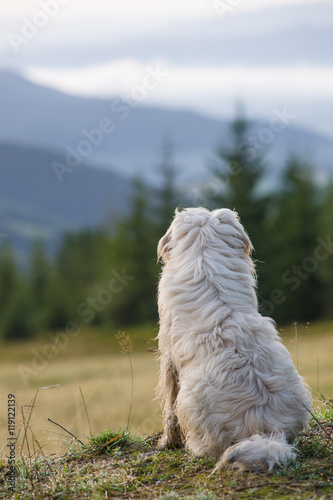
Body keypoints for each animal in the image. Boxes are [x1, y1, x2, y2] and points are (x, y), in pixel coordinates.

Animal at [156, 205, 312, 470]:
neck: (205, 262)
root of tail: (265, 432)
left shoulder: (168, 357)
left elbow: (169, 405)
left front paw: (168, 441)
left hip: (191, 399)